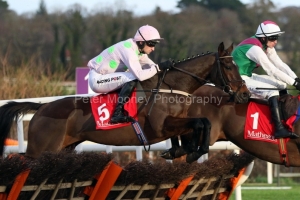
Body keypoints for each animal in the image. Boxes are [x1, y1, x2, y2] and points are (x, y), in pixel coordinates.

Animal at [0, 42, 250, 159]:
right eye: (229, 66)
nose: (245, 94)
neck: (171, 87)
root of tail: (42, 108)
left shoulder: (177, 123)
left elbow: (200, 124)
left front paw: (182, 151)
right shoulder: (160, 126)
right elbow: (201, 123)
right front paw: (197, 151)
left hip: (63, 148)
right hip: (40, 150)